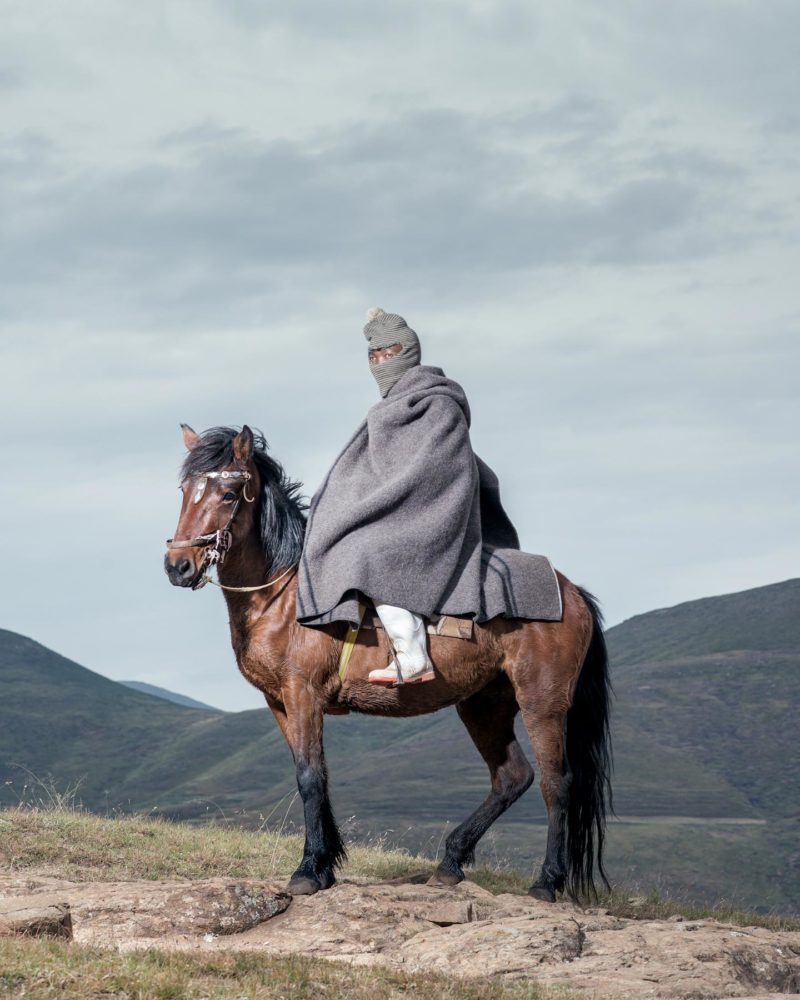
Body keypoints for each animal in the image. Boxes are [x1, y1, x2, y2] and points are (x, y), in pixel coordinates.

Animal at [164, 422, 612, 900]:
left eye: (229, 494)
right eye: (185, 490)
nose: (178, 565)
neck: (282, 596)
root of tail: (572, 592)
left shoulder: (303, 694)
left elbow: (309, 778)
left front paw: (308, 871)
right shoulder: (279, 701)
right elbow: (315, 775)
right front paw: (325, 865)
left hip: (542, 702)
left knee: (556, 783)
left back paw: (547, 881)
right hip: (483, 703)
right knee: (512, 776)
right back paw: (450, 862)